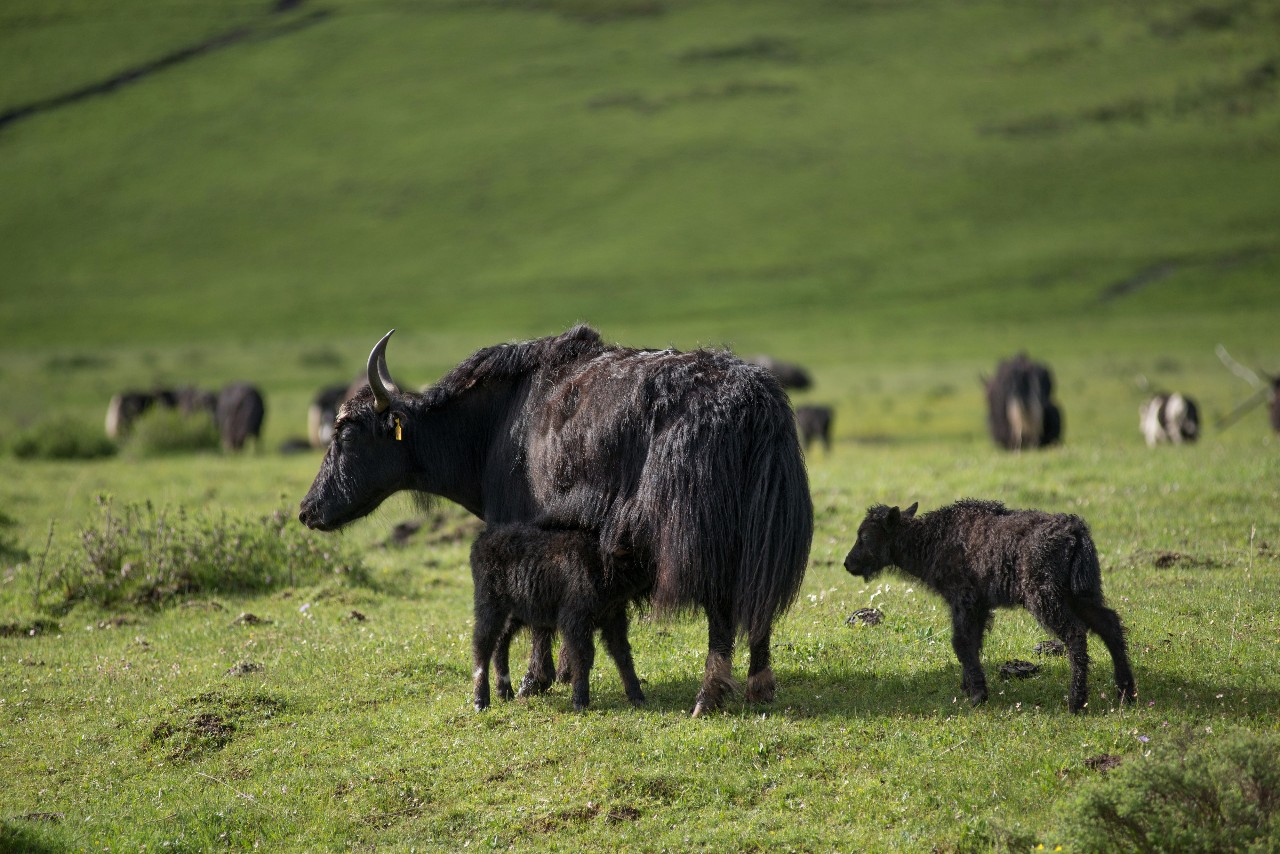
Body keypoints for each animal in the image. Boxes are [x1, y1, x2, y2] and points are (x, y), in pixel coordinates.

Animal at [844, 501, 1136, 717]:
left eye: (865, 536)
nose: (848, 563)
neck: (932, 539)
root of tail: (1075, 529)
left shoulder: (964, 600)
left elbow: (961, 642)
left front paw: (977, 695)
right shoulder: (979, 605)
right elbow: (973, 642)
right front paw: (969, 686)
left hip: (1046, 597)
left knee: (1076, 634)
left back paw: (1076, 702)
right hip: (1082, 594)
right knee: (1110, 626)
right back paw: (1126, 693)